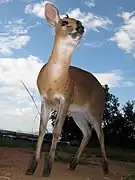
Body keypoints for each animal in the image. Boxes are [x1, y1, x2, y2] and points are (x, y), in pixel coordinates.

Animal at [25, 1, 108, 177]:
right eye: (64, 22)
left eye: (80, 22)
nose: (81, 27)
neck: (53, 81)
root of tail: (102, 90)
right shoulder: (46, 100)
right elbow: (42, 130)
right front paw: (31, 168)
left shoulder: (65, 99)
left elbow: (57, 131)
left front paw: (47, 169)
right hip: (78, 114)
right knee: (88, 133)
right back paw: (72, 164)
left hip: (96, 111)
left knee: (100, 134)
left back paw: (105, 167)